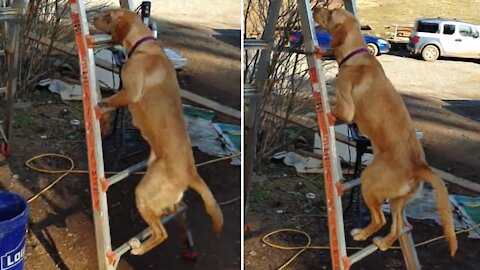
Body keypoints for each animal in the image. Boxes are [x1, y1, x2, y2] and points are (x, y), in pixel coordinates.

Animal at [94, 9, 225, 255]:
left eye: (108, 16)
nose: (93, 17)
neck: (143, 46)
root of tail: (191, 173)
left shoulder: (129, 93)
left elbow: (105, 101)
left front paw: (101, 112)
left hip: (143, 193)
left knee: (161, 233)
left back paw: (138, 248)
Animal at [314, 6, 456, 255]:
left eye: (331, 12)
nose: (314, 7)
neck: (356, 55)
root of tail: (419, 166)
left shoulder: (347, 108)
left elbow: (336, 113)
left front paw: (325, 116)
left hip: (369, 182)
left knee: (380, 219)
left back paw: (361, 234)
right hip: (398, 200)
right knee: (397, 227)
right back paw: (383, 242)